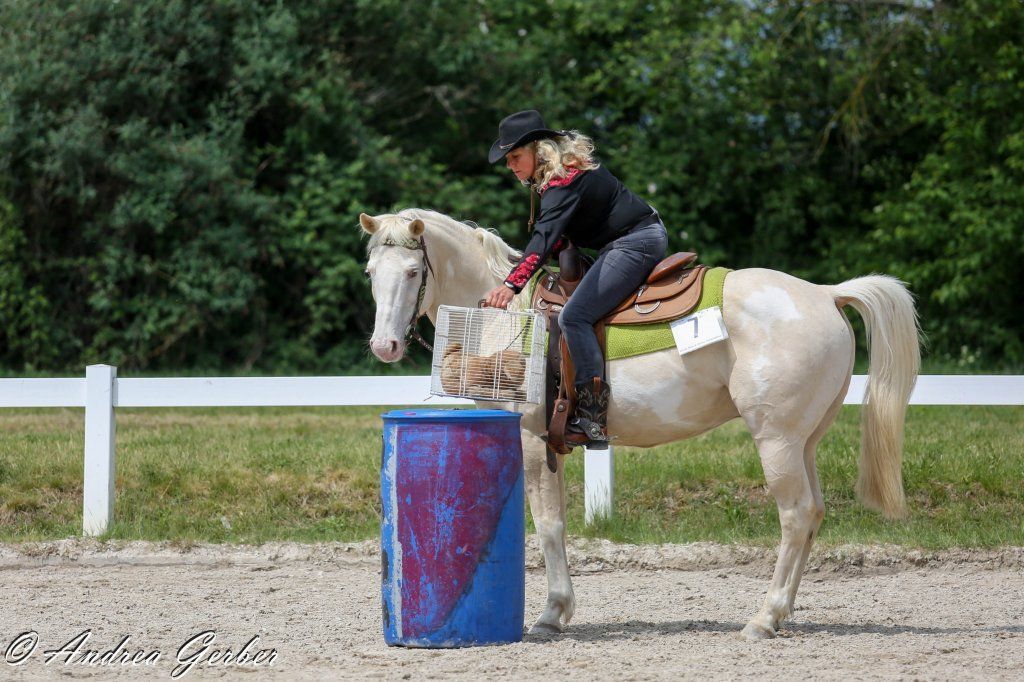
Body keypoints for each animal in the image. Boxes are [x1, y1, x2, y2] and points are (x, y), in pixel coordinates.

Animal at [359, 207, 920, 640]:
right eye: (370, 272)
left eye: (412, 273)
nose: (384, 346)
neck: (506, 314)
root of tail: (826, 293)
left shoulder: (532, 438)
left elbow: (549, 525)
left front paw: (551, 614)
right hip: (805, 442)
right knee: (815, 514)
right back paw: (783, 615)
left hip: (776, 441)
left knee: (796, 515)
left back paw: (764, 618)